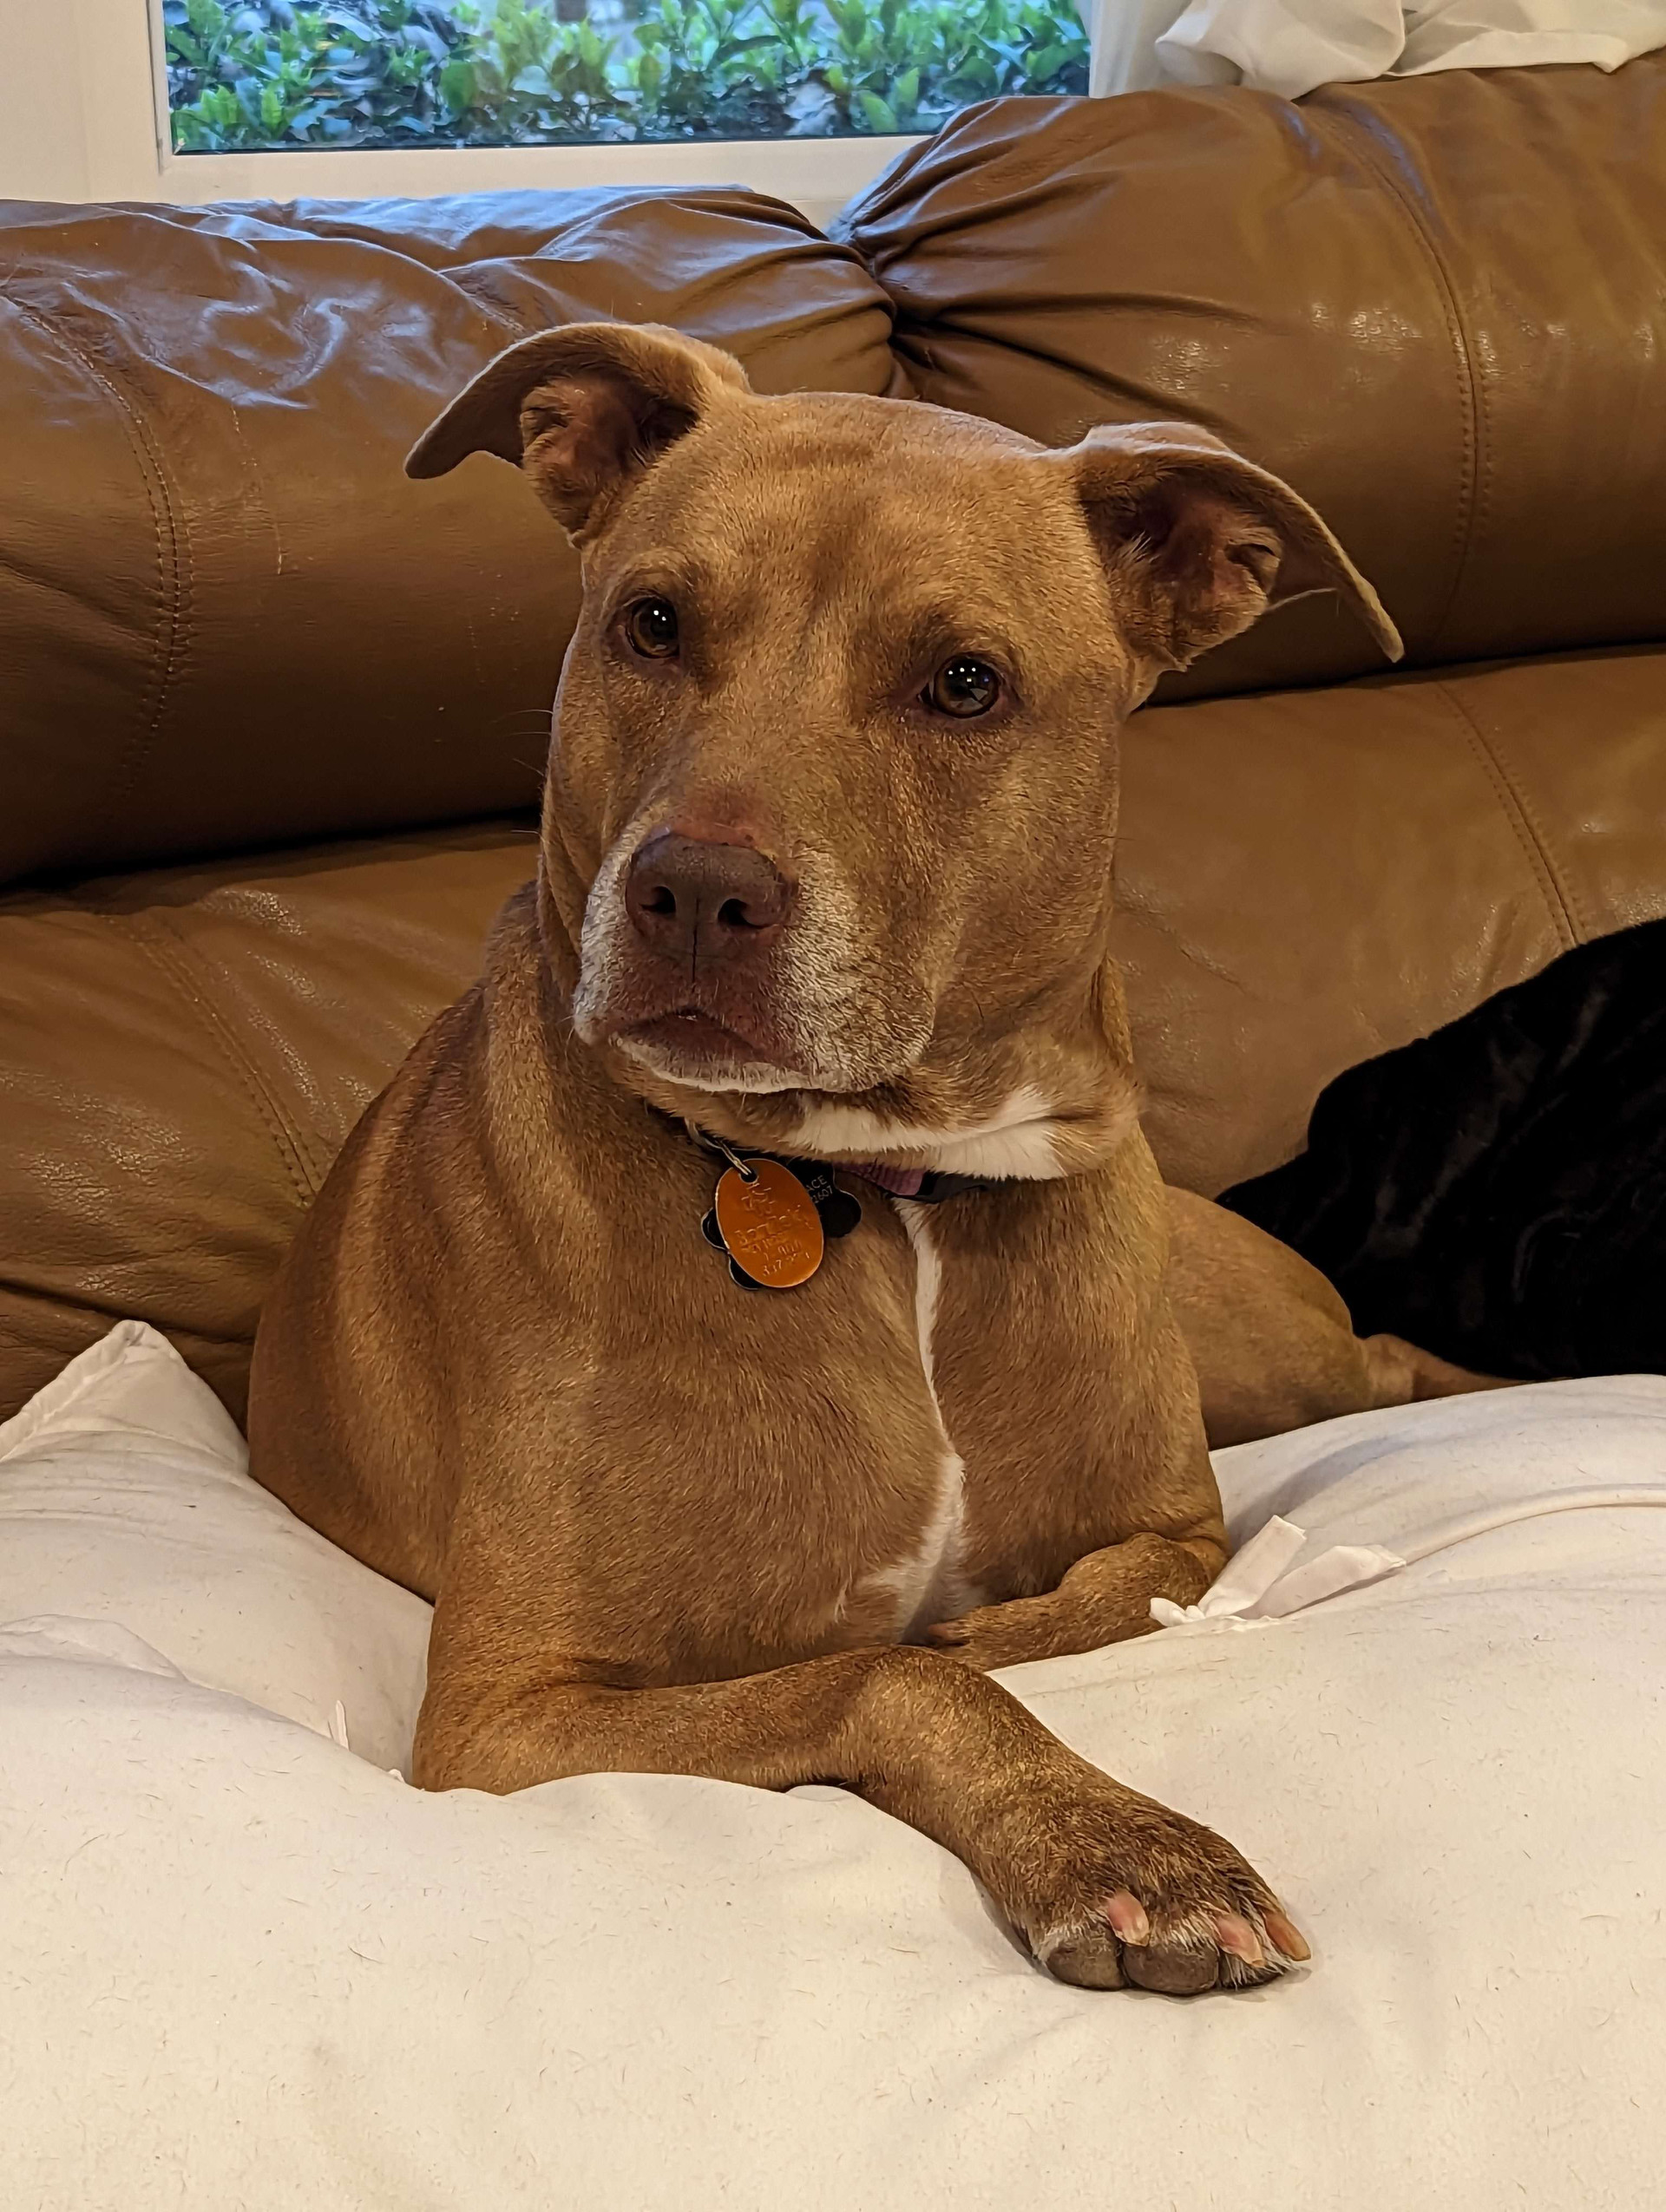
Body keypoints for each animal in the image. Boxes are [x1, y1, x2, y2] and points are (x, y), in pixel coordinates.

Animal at [243, 320, 1415, 1999]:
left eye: (965, 684)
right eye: (653, 623)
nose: (691, 893)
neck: (885, 1184)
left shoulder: (1180, 1523)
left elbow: (1087, 1606)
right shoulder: (506, 1714)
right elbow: (889, 1673)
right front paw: (1115, 1839)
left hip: (1267, 1348)